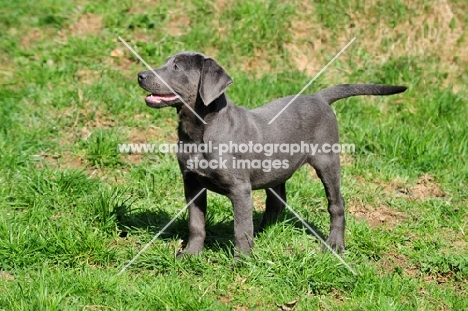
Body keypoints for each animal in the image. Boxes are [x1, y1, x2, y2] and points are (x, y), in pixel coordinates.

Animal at [137, 51, 408, 258]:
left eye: (176, 67)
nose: (140, 75)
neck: (199, 132)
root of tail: (318, 97)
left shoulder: (240, 188)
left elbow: (240, 228)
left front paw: (242, 262)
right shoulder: (192, 183)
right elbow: (196, 224)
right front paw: (191, 255)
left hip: (328, 161)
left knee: (336, 204)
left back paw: (334, 245)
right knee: (276, 201)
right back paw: (263, 232)